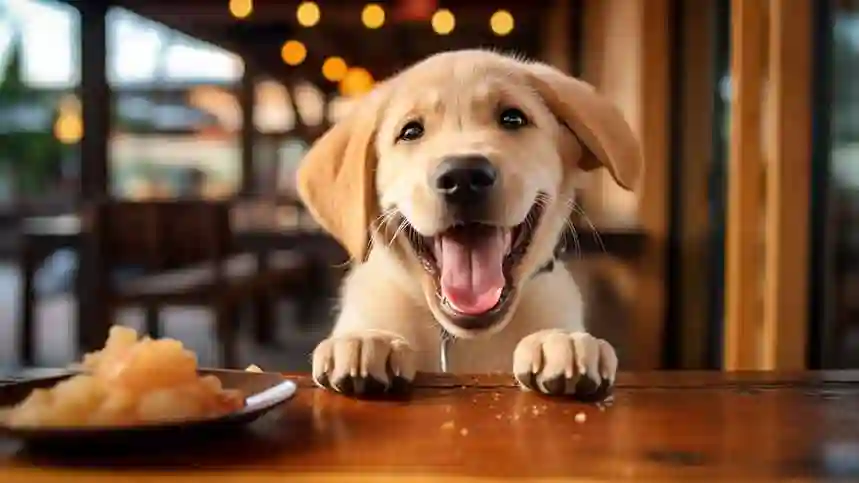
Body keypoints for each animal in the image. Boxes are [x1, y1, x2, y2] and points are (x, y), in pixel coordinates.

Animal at [296, 49, 640, 398]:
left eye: (513, 118)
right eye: (411, 132)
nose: (463, 177)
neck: (461, 339)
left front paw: (561, 341)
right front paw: (368, 339)